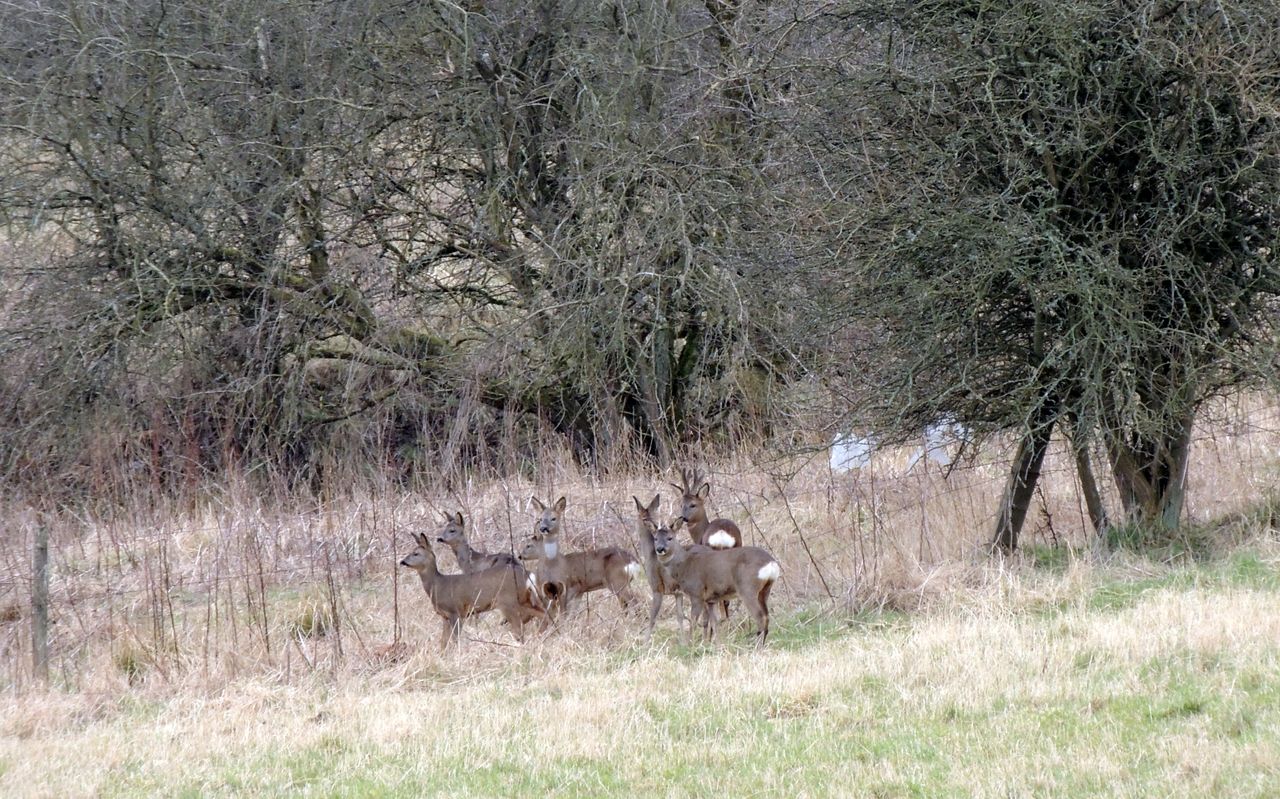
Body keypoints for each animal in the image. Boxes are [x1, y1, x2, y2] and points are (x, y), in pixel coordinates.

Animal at [398, 531, 544, 650]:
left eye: (416, 553)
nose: (402, 561)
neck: (438, 585)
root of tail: (527, 575)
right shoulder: (445, 616)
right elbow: (443, 641)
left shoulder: (455, 611)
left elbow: (454, 639)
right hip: (524, 600)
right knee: (542, 614)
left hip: (509, 601)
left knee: (520, 627)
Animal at [651, 515, 780, 645]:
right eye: (655, 538)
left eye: (670, 538)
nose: (660, 549)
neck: (685, 565)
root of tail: (772, 564)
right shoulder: (711, 599)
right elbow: (714, 622)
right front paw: (716, 644)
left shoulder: (697, 593)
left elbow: (693, 622)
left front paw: (689, 644)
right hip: (764, 590)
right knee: (766, 616)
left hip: (748, 588)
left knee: (760, 617)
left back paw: (757, 645)